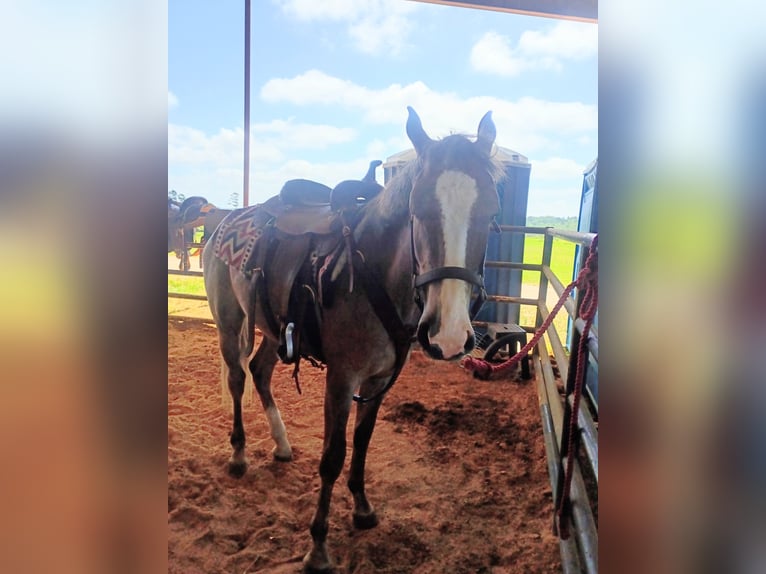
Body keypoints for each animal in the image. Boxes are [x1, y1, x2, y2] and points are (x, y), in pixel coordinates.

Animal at [202, 107, 503, 573]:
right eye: (417, 211)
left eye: (490, 213)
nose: (450, 335)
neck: (372, 272)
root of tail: (224, 222)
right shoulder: (342, 381)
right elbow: (333, 456)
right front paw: (318, 547)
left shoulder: (378, 382)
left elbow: (361, 444)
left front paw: (362, 508)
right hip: (229, 322)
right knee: (237, 377)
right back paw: (239, 454)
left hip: (273, 329)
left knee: (259, 371)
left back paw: (282, 444)